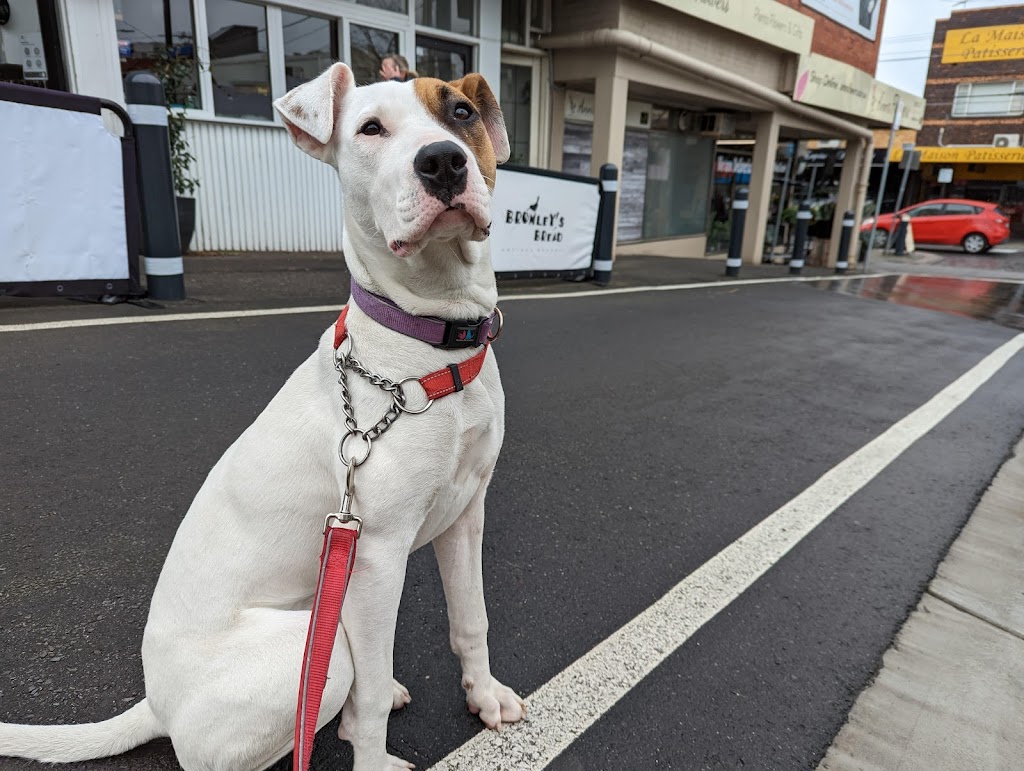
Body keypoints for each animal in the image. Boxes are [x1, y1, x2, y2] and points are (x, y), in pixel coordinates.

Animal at [0, 64, 524, 769]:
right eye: (370, 129)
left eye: (462, 113)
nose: (442, 161)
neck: (431, 343)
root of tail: (158, 704)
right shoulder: (377, 556)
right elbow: (369, 694)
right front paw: (374, 749)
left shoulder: (466, 515)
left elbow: (472, 619)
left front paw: (485, 696)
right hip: (311, 651)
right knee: (336, 693)